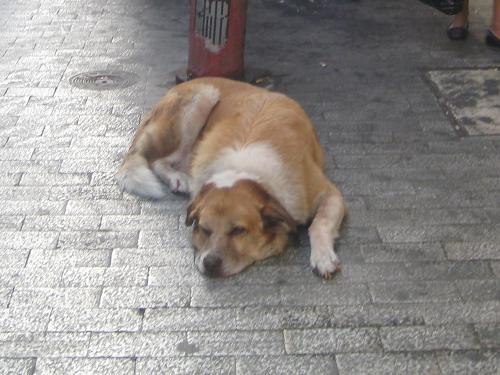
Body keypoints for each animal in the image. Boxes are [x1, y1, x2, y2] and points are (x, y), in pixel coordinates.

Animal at [115, 78, 346, 280]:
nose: (209, 263)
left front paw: (323, 257)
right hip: (200, 100)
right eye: (205, 229)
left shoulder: (329, 194)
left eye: (238, 231)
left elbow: (319, 223)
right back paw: (177, 178)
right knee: (156, 160)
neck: (243, 169)